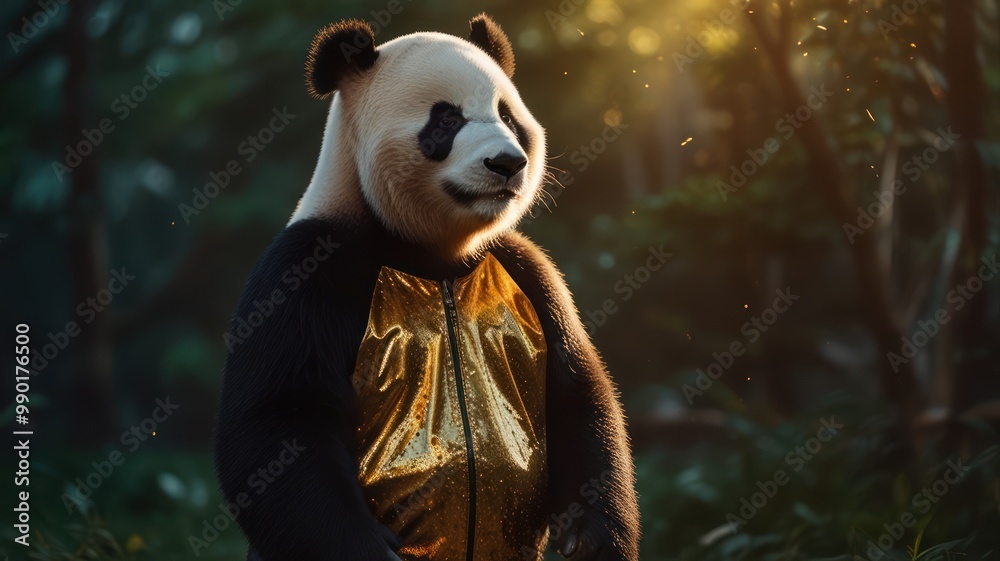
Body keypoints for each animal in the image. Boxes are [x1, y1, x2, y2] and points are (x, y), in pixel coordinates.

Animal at [214, 14, 639, 561]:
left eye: (507, 117)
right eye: (445, 122)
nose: (507, 163)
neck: (434, 254)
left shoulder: (530, 273)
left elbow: (577, 396)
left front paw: (588, 540)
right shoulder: (306, 270)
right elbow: (277, 424)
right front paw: (370, 550)